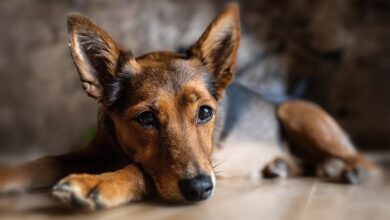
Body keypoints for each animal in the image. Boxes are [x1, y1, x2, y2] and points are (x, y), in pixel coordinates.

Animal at [0, 3, 378, 210]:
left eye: (206, 113)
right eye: (146, 118)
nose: (199, 190)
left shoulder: (210, 165)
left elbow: (140, 170)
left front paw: (101, 184)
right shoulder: (94, 150)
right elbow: (47, 160)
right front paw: (9, 176)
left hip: (295, 112)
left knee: (365, 162)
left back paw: (349, 170)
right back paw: (285, 167)